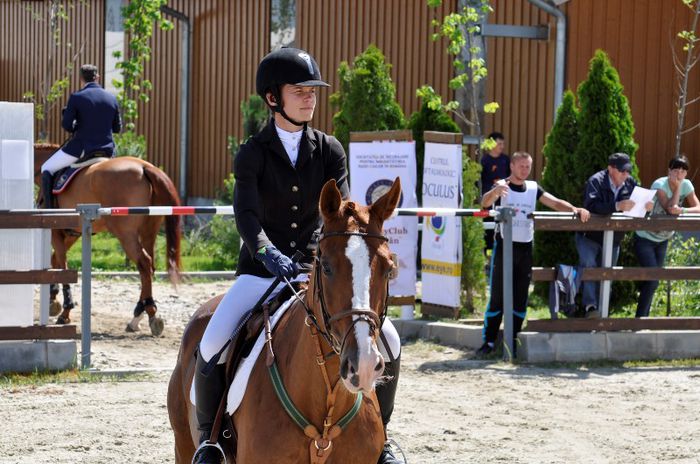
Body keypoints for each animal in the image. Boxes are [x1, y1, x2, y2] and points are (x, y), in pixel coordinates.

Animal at [34, 143, 182, 336]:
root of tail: (145, 167)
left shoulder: (56, 232)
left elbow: (62, 264)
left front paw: (65, 312)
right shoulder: (74, 233)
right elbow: (56, 261)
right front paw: (53, 299)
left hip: (125, 234)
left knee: (143, 263)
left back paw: (149, 313)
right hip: (148, 231)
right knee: (149, 266)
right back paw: (138, 316)